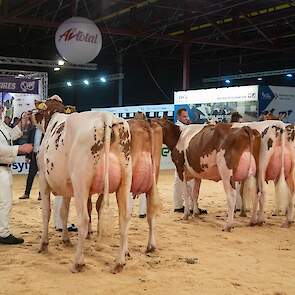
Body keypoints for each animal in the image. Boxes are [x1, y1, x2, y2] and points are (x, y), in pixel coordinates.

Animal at [32, 96, 133, 274]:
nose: (30, 115)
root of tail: (106, 116)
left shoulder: (43, 177)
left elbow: (46, 212)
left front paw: (44, 244)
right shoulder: (67, 186)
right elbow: (63, 212)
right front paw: (65, 239)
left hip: (81, 182)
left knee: (84, 219)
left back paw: (78, 262)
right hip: (125, 181)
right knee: (124, 218)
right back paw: (120, 262)